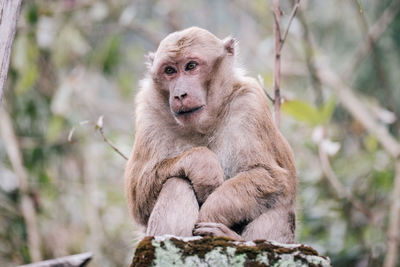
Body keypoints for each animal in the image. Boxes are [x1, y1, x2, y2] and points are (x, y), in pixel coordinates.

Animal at [125, 26, 296, 243]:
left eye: (191, 66)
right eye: (170, 70)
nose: (179, 94)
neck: (203, 125)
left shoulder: (249, 102)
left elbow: (272, 176)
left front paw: (210, 216)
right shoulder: (149, 113)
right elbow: (137, 197)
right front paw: (202, 164)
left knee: (281, 209)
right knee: (176, 182)